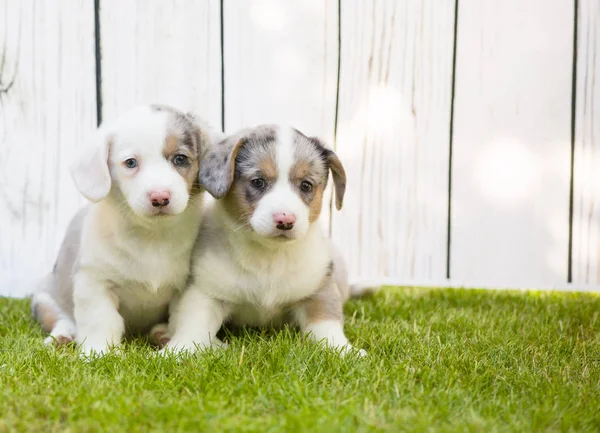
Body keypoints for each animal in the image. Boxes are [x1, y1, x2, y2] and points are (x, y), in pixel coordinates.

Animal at [30, 104, 218, 354]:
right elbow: (101, 320)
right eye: (130, 163)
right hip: (44, 299)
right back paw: (63, 336)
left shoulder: (187, 288)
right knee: (61, 318)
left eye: (180, 159)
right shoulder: (95, 282)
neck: (153, 236)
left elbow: (183, 319)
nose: (160, 197)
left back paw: (161, 334)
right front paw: (98, 352)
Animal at [158, 124, 366, 354]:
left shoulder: (319, 289)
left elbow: (327, 325)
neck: (268, 257)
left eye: (306, 185)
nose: (285, 220)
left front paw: (345, 351)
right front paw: (178, 351)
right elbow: (193, 326)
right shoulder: (205, 292)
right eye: (258, 182)